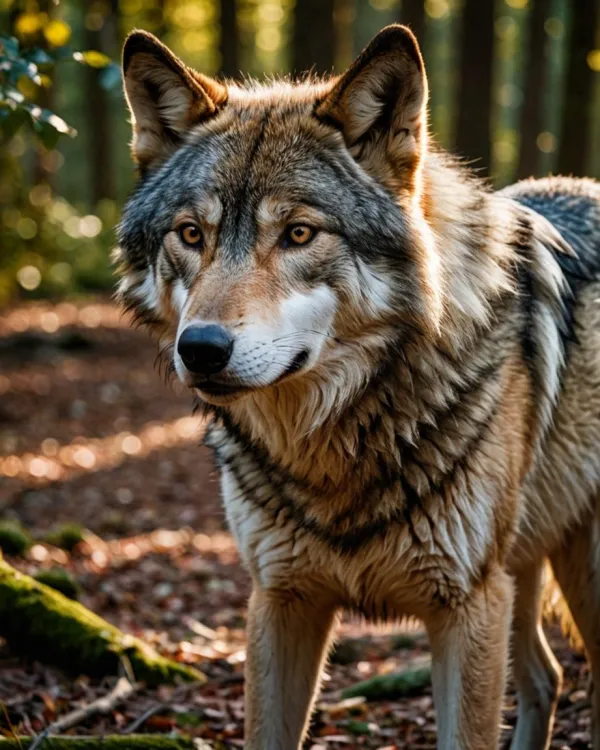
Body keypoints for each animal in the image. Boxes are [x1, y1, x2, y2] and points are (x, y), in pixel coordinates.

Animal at [115, 24, 600, 750]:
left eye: (298, 234)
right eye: (191, 234)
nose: (200, 349)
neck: (335, 446)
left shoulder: (467, 609)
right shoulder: (280, 600)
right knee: (548, 676)